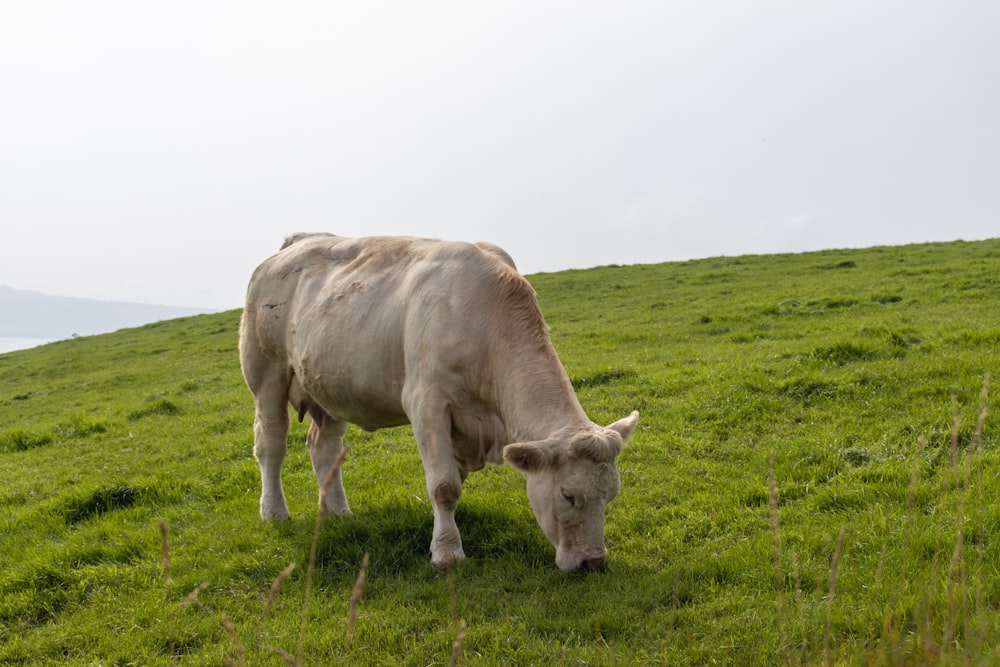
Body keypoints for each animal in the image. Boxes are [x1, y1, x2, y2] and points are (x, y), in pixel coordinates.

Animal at [238, 235, 636, 576]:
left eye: (611, 494)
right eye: (568, 495)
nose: (593, 562)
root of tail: (294, 244)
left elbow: (453, 481)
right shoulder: (426, 402)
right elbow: (444, 485)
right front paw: (447, 553)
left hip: (328, 385)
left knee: (324, 449)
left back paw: (338, 512)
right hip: (267, 374)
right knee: (271, 445)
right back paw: (274, 512)